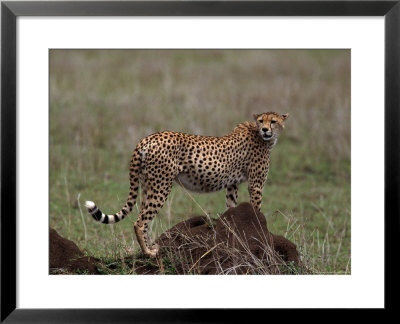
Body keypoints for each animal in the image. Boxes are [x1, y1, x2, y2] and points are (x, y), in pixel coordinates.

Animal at [86, 112, 290, 256]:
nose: (265, 130)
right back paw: (149, 252)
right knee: (140, 221)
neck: (261, 136)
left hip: (147, 185)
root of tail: (147, 138)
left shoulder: (232, 185)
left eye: (273, 121)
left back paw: (152, 246)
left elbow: (231, 207)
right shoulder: (256, 184)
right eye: (262, 121)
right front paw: (259, 230)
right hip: (161, 186)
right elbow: (256, 209)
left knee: (145, 218)